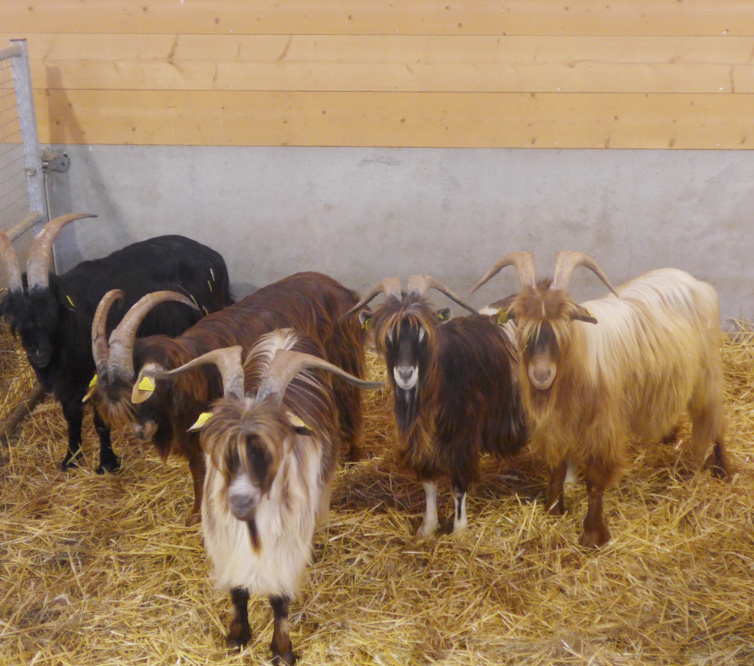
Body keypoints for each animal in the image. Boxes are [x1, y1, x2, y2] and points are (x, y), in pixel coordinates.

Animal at [0, 215, 231, 470]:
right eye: (15, 317)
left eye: (49, 309)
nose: (37, 354)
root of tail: (214, 257)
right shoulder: (67, 385)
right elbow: (71, 417)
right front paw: (71, 458)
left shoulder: (99, 375)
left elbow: (101, 421)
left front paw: (107, 463)